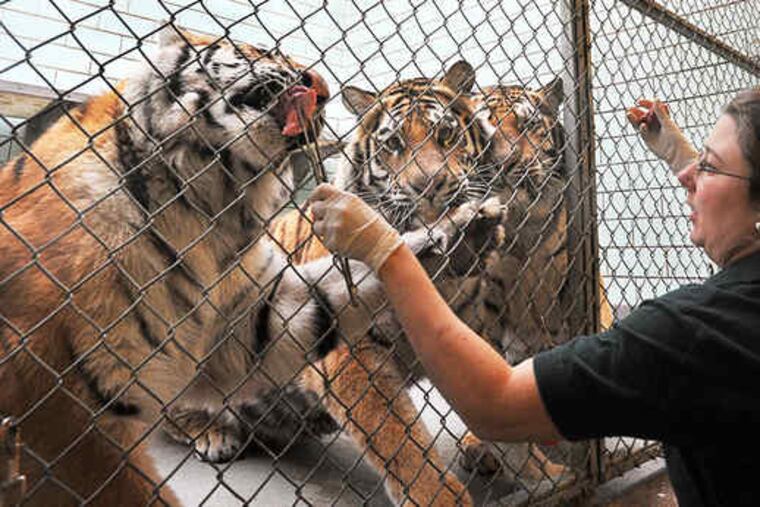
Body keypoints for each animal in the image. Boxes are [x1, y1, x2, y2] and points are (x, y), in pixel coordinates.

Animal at [0, 27, 472, 506]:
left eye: (445, 137)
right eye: (394, 144)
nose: (322, 88)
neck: (213, 199)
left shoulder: (248, 316)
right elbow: (397, 435)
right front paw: (440, 495)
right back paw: (215, 434)